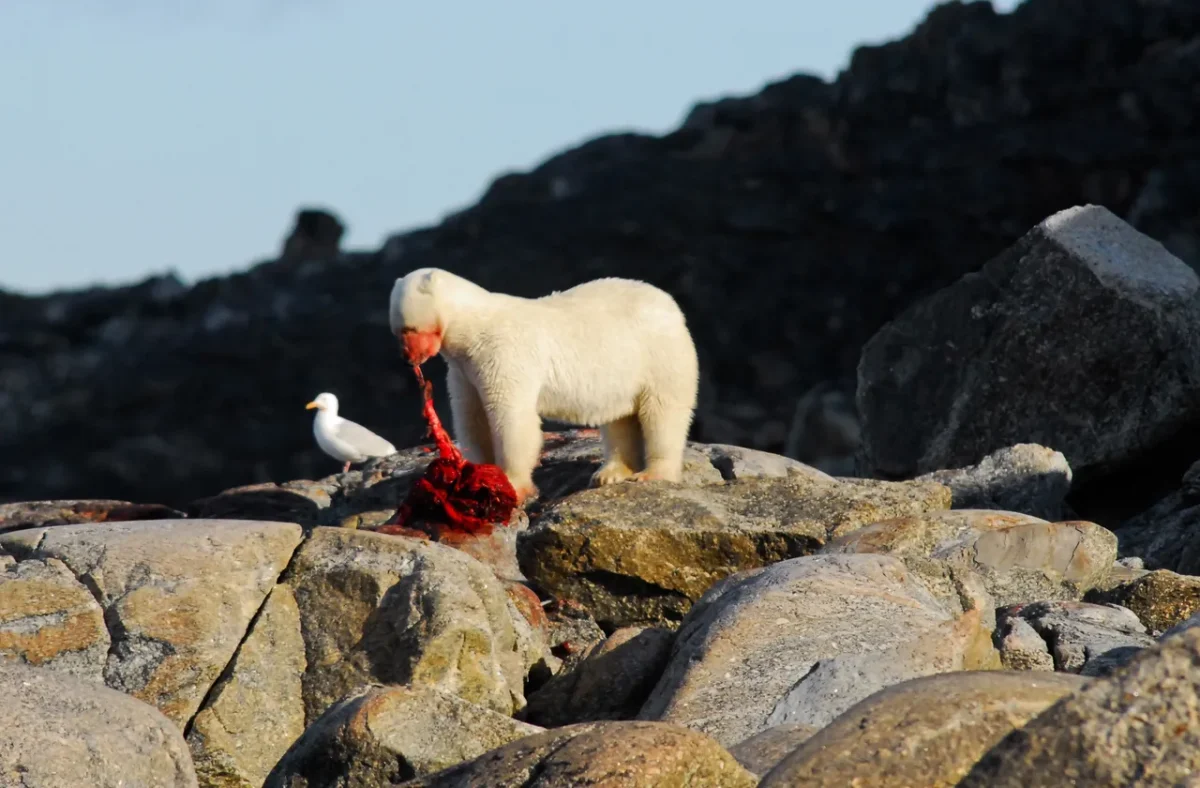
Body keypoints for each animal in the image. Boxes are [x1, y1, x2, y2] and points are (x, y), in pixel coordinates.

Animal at [388, 267, 699, 504]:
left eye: (409, 329)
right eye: (397, 332)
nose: (407, 358)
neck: (474, 326)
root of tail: (671, 306)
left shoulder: (502, 353)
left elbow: (511, 417)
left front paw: (512, 484)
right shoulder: (464, 370)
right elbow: (472, 418)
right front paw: (478, 473)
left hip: (658, 355)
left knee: (662, 413)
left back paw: (654, 472)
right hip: (622, 371)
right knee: (618, 418)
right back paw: (609, 473)